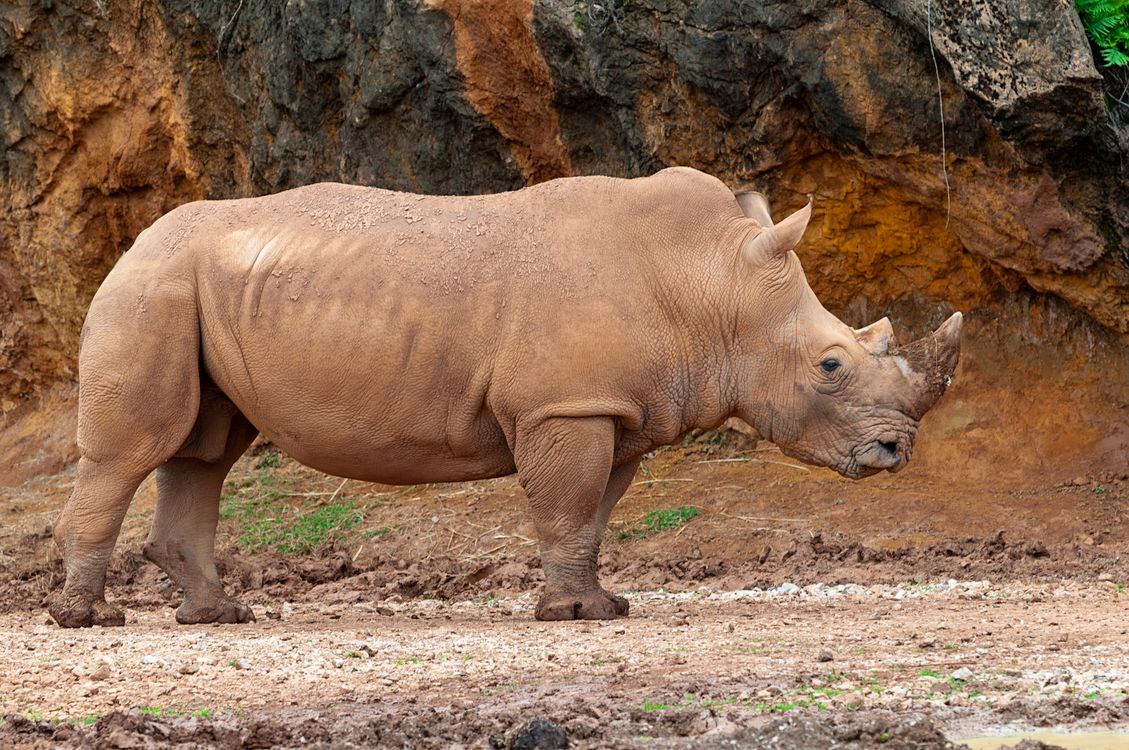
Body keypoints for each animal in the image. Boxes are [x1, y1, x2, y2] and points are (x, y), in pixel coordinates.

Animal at [48, 167, 961, 628]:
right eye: (830, 366)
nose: (896, 452)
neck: (709, 285)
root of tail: (133, 241)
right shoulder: (565, 406)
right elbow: (565, 505)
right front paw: (570, 615)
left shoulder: (613, 410)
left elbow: (593, 513)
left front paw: (600, 606)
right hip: (151, 286)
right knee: (135, 450)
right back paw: (88, 621)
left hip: (193, 287)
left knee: (204, 450)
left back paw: (219, 615)